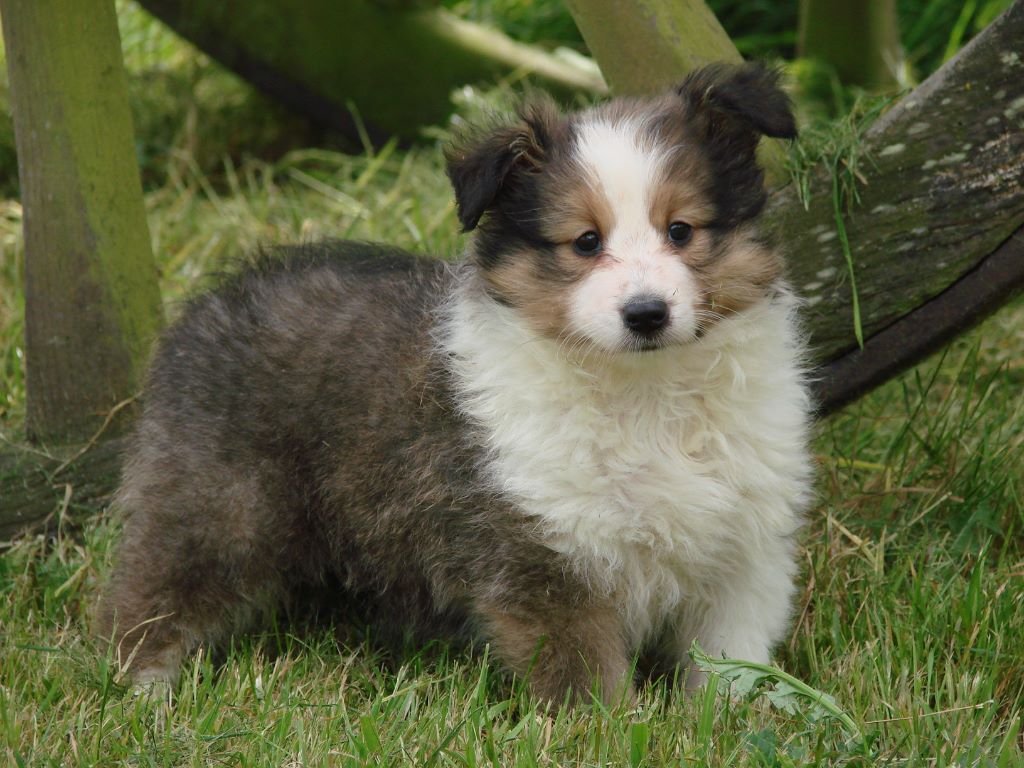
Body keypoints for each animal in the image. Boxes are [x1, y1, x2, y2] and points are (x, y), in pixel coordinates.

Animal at [97, 63, 815, 708]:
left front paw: (720, 724)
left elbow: (729, 665)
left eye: (681, 230)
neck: (647, 392)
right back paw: (143, 695)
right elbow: (588, 678)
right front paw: (607, 734)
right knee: (150, 595)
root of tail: (214, 298)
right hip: (215, 510)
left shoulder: (745, 554)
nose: (646, 314)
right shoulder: (543, 555)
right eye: (585, 242)